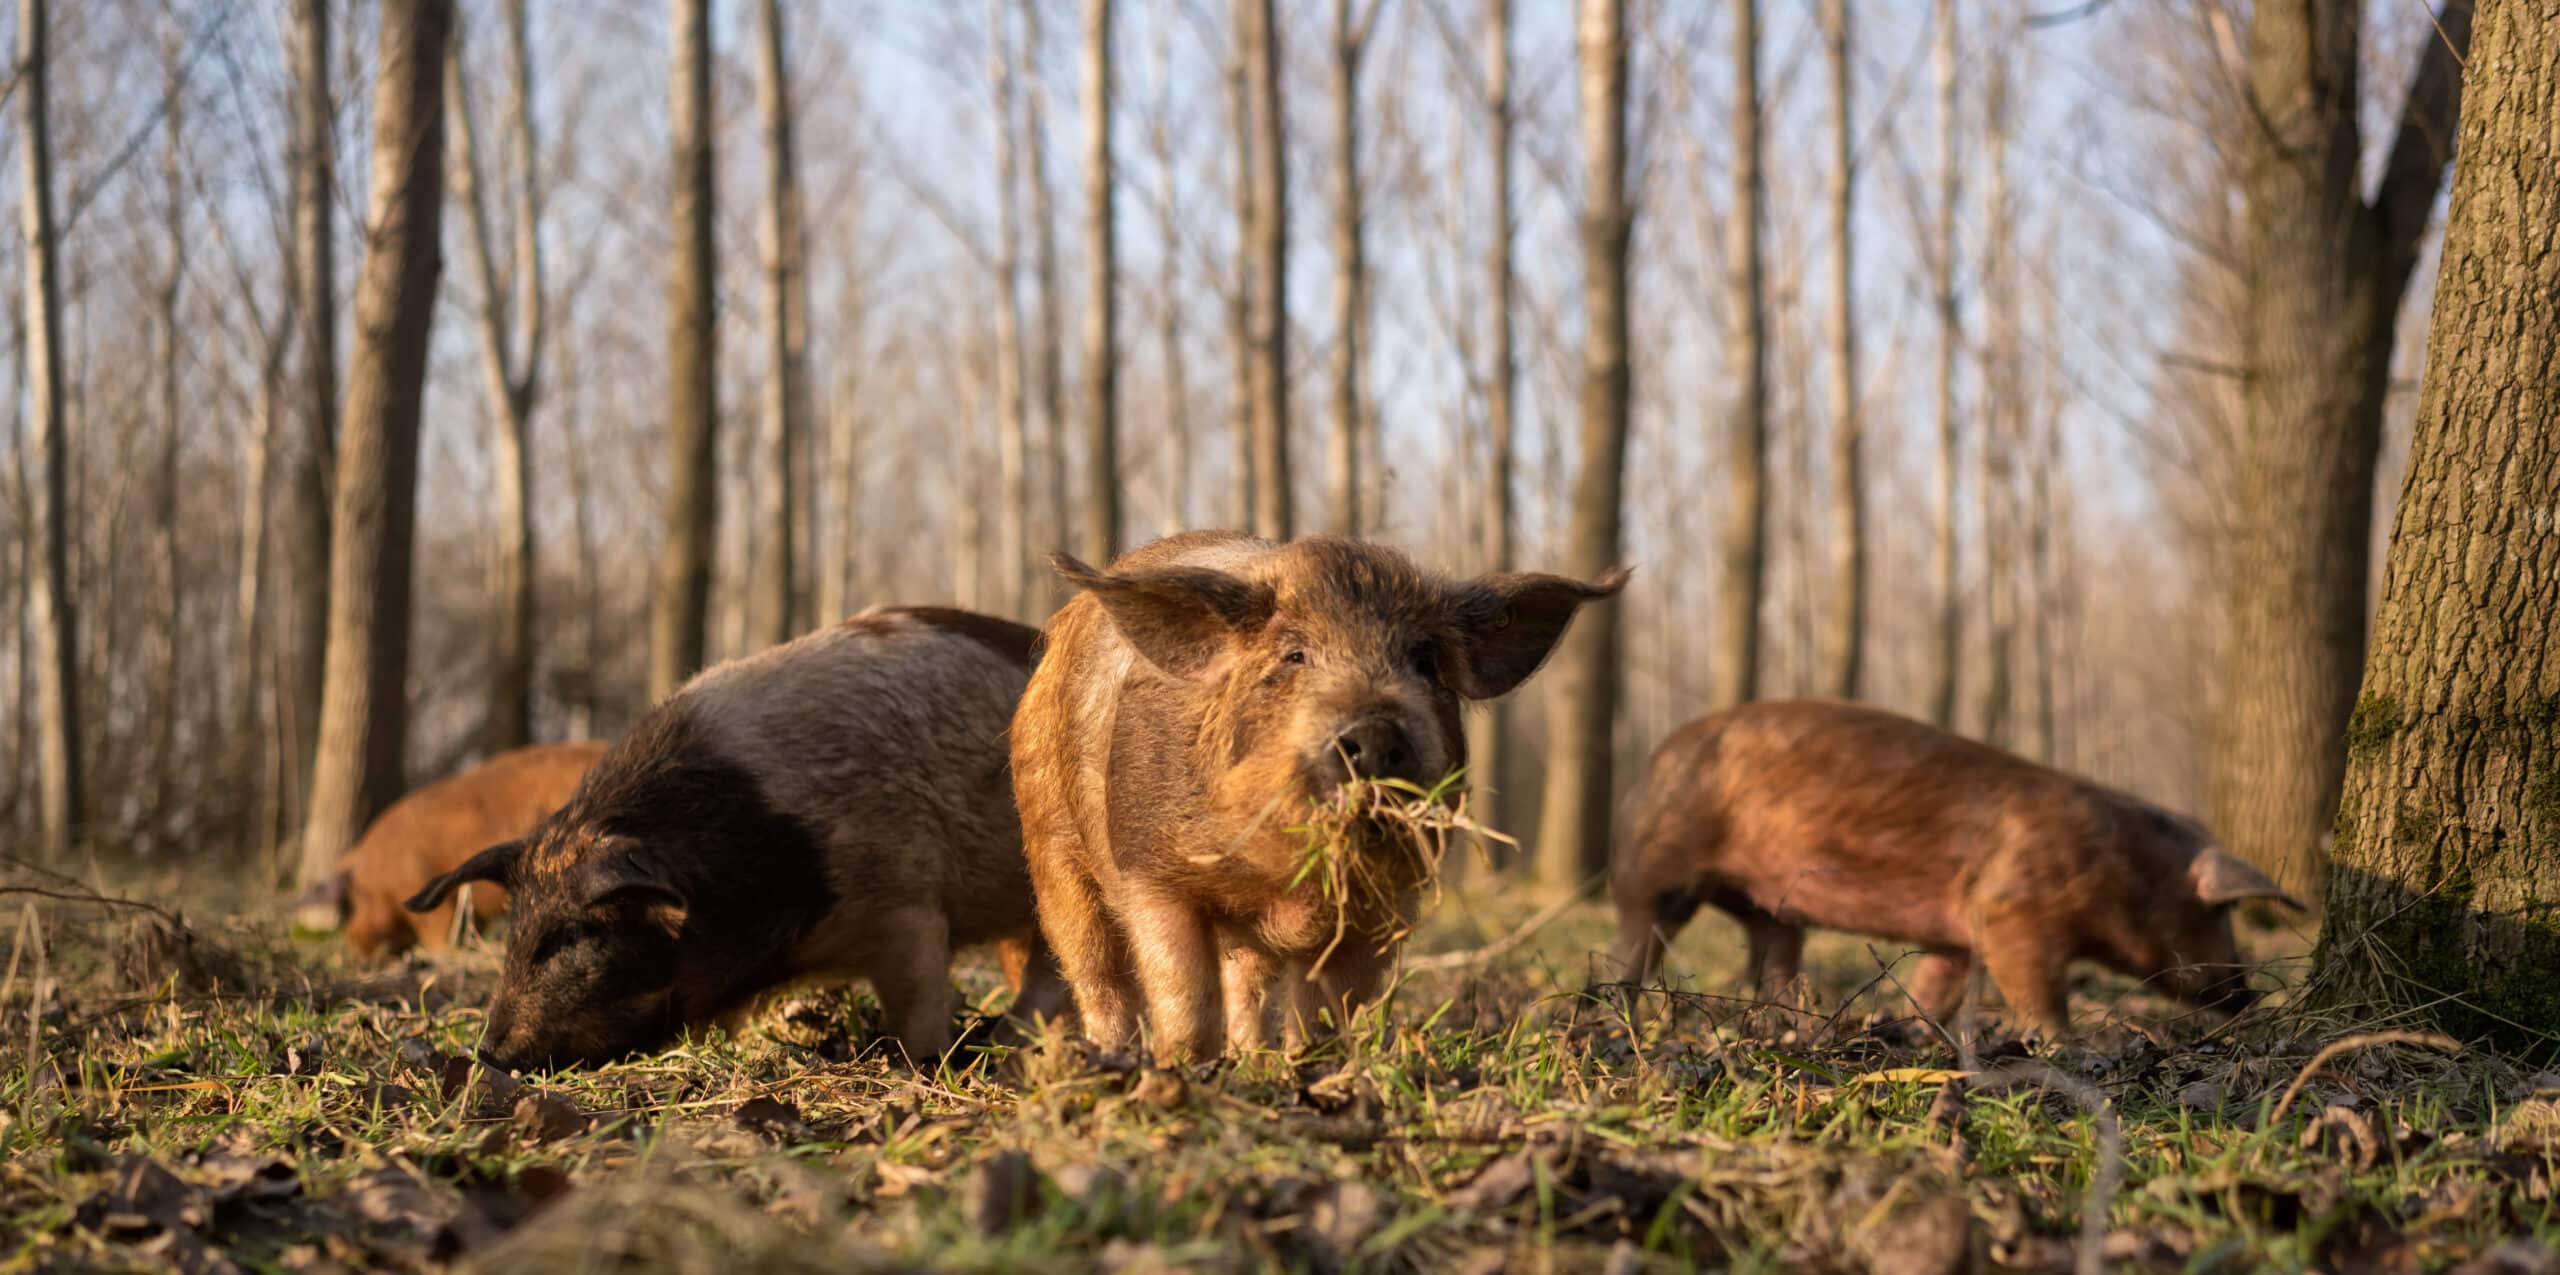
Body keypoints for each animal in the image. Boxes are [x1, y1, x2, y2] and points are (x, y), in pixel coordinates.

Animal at [409, 601, 1070, 1070]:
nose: (488, 1054)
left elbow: (920, 1005)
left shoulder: (906, 902)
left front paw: (917, 1064)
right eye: (516, 925)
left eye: (577, 934)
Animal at [1013, 532, 1628, 1059]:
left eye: (1425, 660)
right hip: (1051, 849)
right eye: (1294, 655)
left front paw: (1310, 1068)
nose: (1375, 731)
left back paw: (1254, 1060)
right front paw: (1185, 1066)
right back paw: (1111, 1057)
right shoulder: (1151, 873)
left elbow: (1329, 1009)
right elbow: (1183, 992)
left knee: (1247, 983)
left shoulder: (1379, 911)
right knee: (1096, 972)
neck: (1282, 882)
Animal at [1597, 696, 2304, 1034]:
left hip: (1772, 909)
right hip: (1655, 866)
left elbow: (1939, 984)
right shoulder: (2013, 909)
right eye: (2220, 914)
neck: (2122, 870)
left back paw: (1799, 1022)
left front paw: (1913, 1029)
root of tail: (1653, 761)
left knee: (1773, 957)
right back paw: (1618, 1012)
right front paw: (2070, 1045)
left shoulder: (1956, 936)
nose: (2249, 995)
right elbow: (2036, 987)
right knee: (1636, 939)